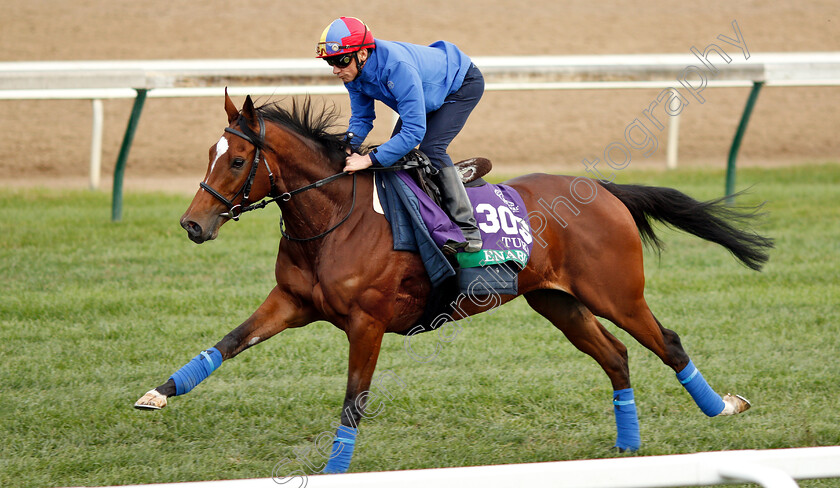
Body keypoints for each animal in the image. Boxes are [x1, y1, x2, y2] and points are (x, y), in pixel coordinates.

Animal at [135, 91, 772, 472]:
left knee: (667, 343)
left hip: (616, 293)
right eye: (210, 152)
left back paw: (722, 408)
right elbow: (226, 343)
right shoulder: (291, 301)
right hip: (557, 302)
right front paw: (157, 393)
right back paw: (628, 447)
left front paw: (335, 470)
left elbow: (353, 401)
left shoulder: (367, 322)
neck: (335, 218)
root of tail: (604, 190)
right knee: (616, 357)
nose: (193, 224)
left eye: (238, 161)